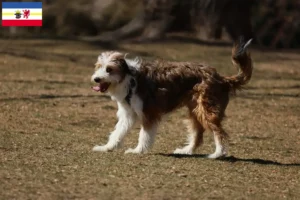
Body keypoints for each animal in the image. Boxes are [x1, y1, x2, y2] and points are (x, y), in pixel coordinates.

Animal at [90, 38, 252, 159]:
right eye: (98, 67)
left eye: (109, 69)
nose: (96, 79)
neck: (129, 78)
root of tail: (221, 78)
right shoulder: (128, 114)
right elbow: (118, 132)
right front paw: (107, 147)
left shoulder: (149, 113)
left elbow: (144, 134)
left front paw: (138, 150)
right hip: (195, 111)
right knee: (198, 134)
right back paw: (186, 151)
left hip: (206, 110)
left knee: (219, 132)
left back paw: (218, 154)